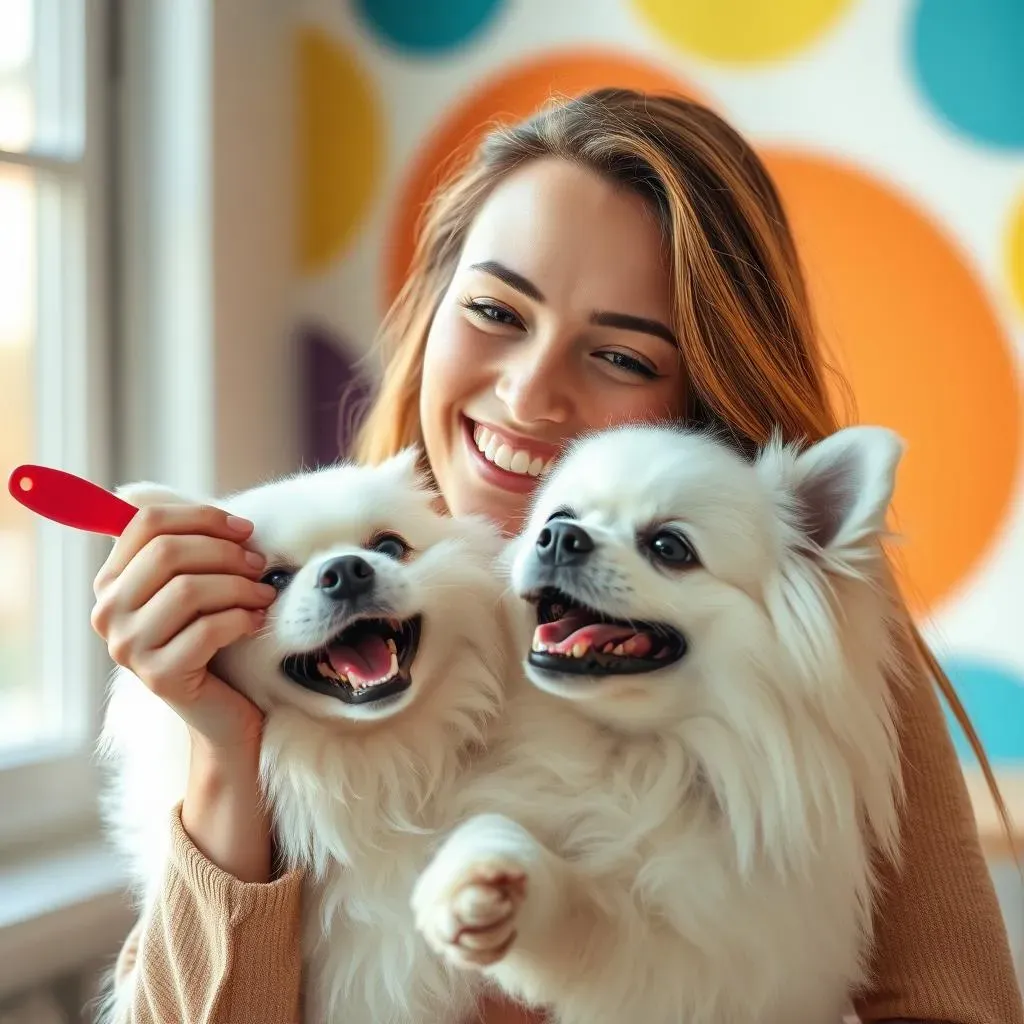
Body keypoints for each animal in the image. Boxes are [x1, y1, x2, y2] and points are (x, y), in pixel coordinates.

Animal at [411, 421, 909, 1024]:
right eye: (558, 516)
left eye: (670, 548)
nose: (560, 537)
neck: (632, 755)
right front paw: (483, 865)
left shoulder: (700, 969)